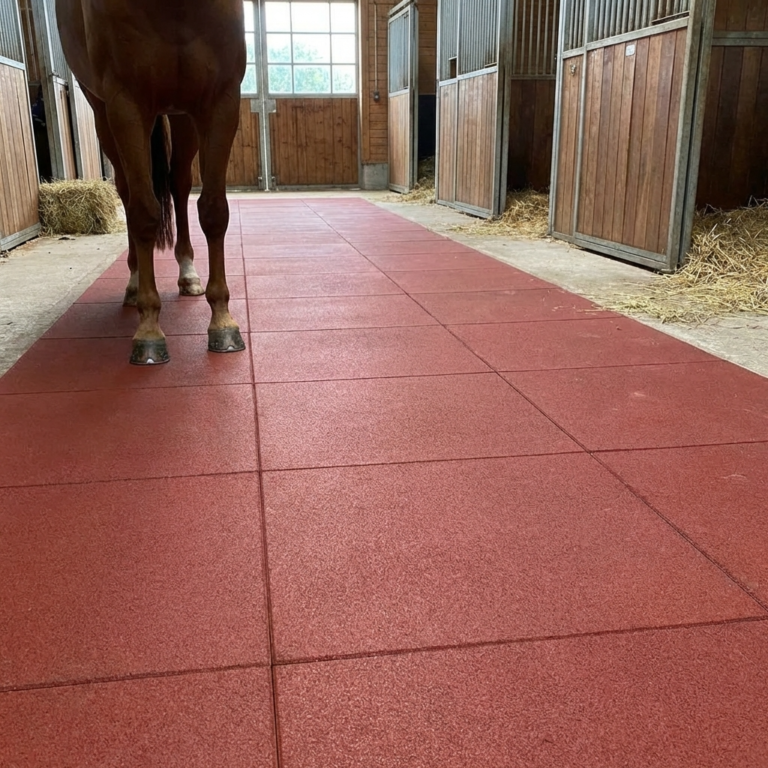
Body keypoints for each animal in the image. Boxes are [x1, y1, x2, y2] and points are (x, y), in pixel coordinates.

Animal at [56, 0, 247, 365]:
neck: (174, 8)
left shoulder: (220, 100)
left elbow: (214, 211)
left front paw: (223, 323)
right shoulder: (125, 103)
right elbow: (144, 212)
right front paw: (148, 330)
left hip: (181, 115)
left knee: (179, 183)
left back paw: (188, 274)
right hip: (104, 111)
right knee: (128, 191)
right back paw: (133, 285)